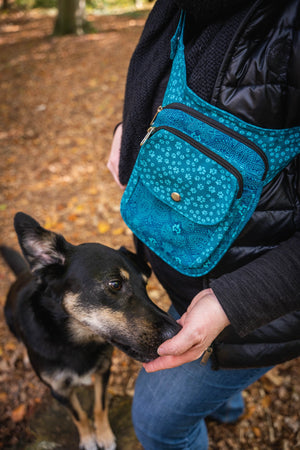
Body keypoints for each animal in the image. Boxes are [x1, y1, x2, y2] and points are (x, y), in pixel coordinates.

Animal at [1, 212, 180, 450]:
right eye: (115, 284)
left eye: (145, 284)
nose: (178, 331)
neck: (76, 342)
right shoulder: (59, 390)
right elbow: (79, 416)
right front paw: (88, 439)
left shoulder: (103, 371)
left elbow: (99, 406)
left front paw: (104, 435)